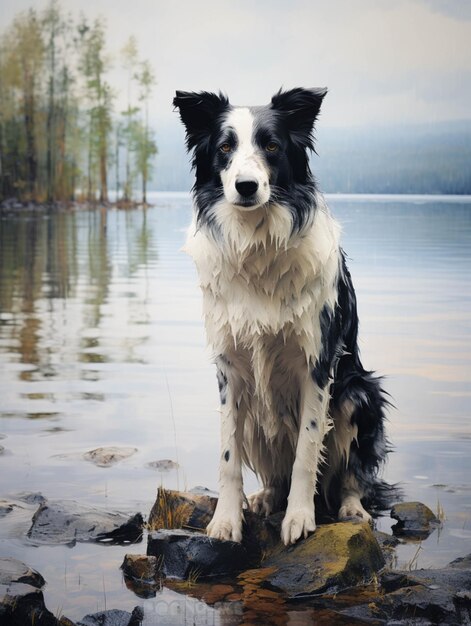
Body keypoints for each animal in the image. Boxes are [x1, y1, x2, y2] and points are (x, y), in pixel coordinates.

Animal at [173, 86, 390, 540]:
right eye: (225, 148)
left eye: (271, 146)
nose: (246, 185)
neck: (257, 242)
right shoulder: (230, 367)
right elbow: (227, 456)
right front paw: (226, 520)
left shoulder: (318, 363)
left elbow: (307, 452)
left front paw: (299, 518)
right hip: (258, 416)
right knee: (273, 472)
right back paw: (266, 497)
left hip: (360, 393)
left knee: (351, 475)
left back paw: (350, 508)